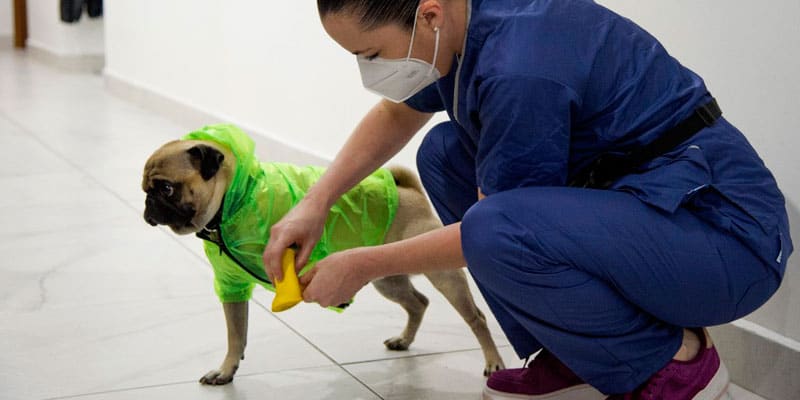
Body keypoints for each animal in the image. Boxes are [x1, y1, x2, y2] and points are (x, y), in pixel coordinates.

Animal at [142, 127, 506, 384]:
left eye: (166, 188)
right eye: (147, 188)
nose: (148, 204)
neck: (233, 198)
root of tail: (409, 191)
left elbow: (236, 332)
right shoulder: (232, 286)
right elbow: (236, 334)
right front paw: (228, 369)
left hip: (442, 274)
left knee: (476, 317)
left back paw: (493, 362)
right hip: (387, 278)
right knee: (418, 302)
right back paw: (404, 339)